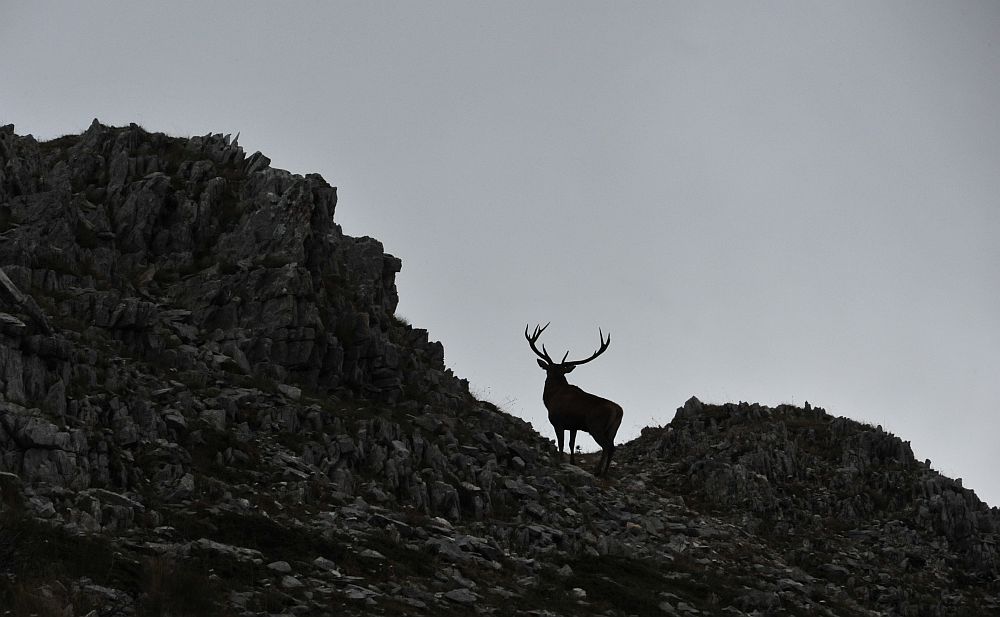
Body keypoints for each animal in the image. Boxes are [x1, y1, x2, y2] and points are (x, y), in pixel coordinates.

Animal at [528, 322, 620, 476]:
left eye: (547, 370)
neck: (550, 398)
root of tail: (618, 411)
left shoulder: (558, 421)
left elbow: (561, 443)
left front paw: (560, 461)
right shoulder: (573, 426)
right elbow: (571, 444)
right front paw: (572, 462)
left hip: (596, 426)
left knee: (607, 446)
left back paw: (597, 471)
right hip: (613, 430)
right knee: (612, 447)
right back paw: (605, 472)